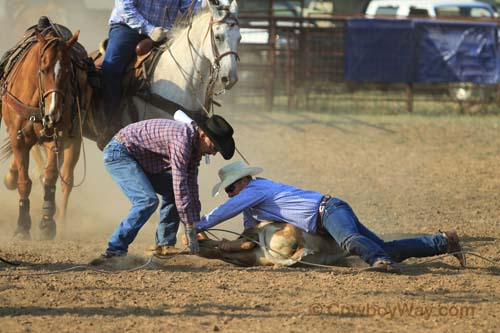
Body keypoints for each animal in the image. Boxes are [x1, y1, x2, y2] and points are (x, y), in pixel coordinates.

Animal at [0, 26, 80, 239]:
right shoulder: (18, 137)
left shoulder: (56, 137)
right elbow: (24, 182)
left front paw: (47, 222)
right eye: (43, 70)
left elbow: (51, 176)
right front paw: (22, 226)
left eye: (68, 71)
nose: (54, 113)